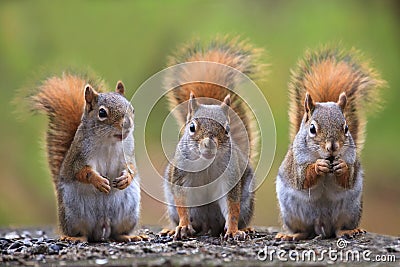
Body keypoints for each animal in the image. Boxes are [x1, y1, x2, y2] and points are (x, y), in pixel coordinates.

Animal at [30, 74, 145, 244]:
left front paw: (126, 178)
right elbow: (82, 172)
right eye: (102, 113)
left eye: (132, 109)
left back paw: (129, 236)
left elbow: (132, 168)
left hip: (128, 214)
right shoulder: (78, 157)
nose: (127, 124)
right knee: (83, 233)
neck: (109, 142)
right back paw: (73, 237)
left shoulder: (129, 154)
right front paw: (99, 181)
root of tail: (102, 226)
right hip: (73, 215)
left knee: (117, 233)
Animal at [159, 37, 266, 241]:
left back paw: (246, 229)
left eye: (227, 129)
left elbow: (232, 208)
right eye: (192, 127)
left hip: (247, 203)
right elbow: (182, 202)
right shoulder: (181, 177)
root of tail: (208, 226)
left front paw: (233, 231)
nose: (209, 144)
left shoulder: (230, 178)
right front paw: (182, 226)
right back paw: (172, 228)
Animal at [276, 45, 386, 242]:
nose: (333, 147)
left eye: (346, 128)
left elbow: (348, 179)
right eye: (312, 129)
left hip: (350, 211)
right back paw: (292, 234)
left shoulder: (352, 161)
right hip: (292, 214)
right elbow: (303, 180)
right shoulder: (297, 163)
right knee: (305, 231)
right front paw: (318, 166)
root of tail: (321, 225)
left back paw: (349, 231)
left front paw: (341, 166)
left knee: (337, 229)